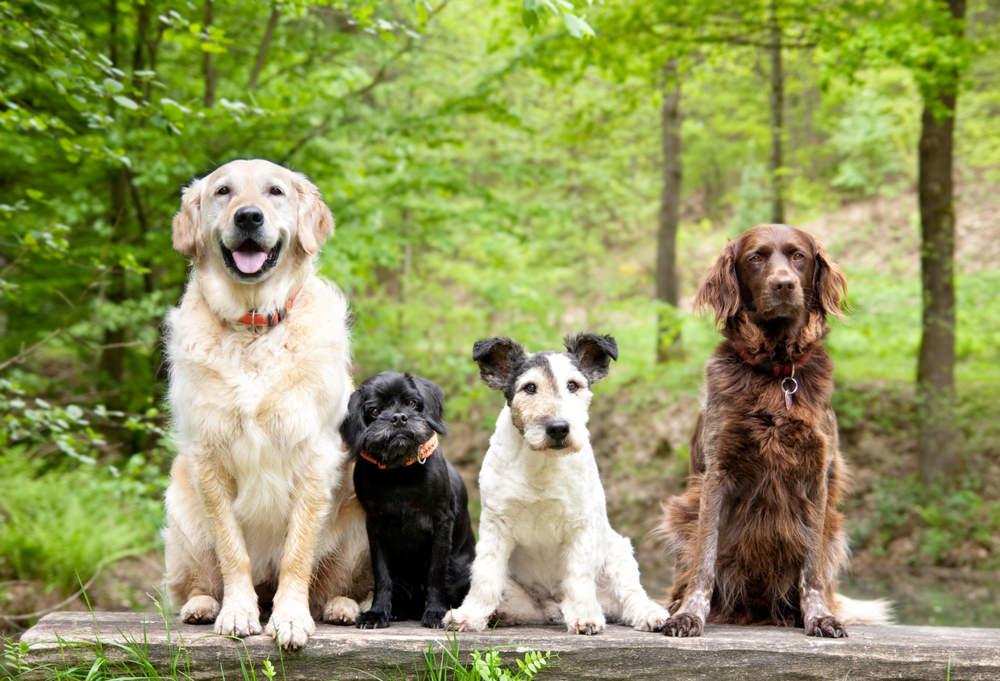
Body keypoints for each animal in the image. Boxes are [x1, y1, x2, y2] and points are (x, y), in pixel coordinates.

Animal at [162, 159, 370, 648]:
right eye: (223, 192)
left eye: (275, 191)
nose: (248, 217)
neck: (253, 324)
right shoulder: (209, 458)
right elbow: (231, 551)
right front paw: (238, 613)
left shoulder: (314, 455)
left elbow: (297, 553)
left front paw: (290, 617)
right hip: (181, 513)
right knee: (199, 580)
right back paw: (203, 605)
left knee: (335, 585)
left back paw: (341, 607)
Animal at [340, 372, 476, 628]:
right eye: (374, 410)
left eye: (412, 403)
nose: (398, 417)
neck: (399, 472)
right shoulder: (376, 527)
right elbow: (382, 576)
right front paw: (377, 612)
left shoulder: (441, 523)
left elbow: (435, 573)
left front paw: (435, 612)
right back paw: (397, 610)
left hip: (462, 569)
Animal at [660, 223, 888, 636]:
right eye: (756, 258)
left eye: (798, 256)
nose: (784, 285)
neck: (777, 374)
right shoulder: (717, 474)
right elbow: (704, 560)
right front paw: (689, 614)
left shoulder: (816, 476)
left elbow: (811, 569)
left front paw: (818, 616)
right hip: (681, 512)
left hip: (835, 527)